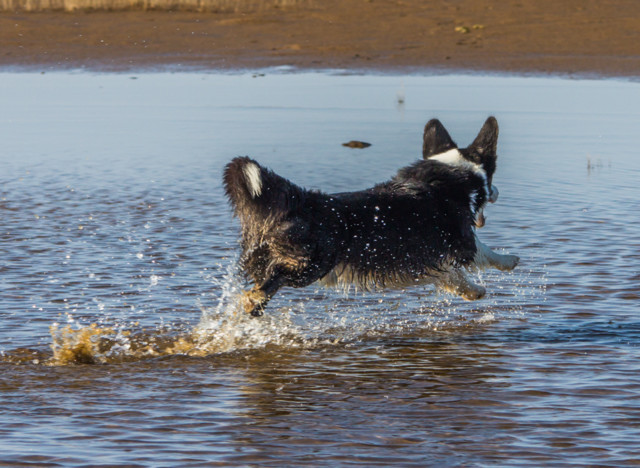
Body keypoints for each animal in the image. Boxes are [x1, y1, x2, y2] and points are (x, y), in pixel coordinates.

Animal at [222, 115, 516, 316]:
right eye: (492, 175)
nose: (497, 191)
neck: (452, 172)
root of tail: (302, 199)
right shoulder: (460, 241)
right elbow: (484, 251)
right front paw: (509, 261)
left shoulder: (422, 258)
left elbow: (448, 276)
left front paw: (471, 291)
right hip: (310, 265)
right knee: (270, 282)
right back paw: (252, 302)